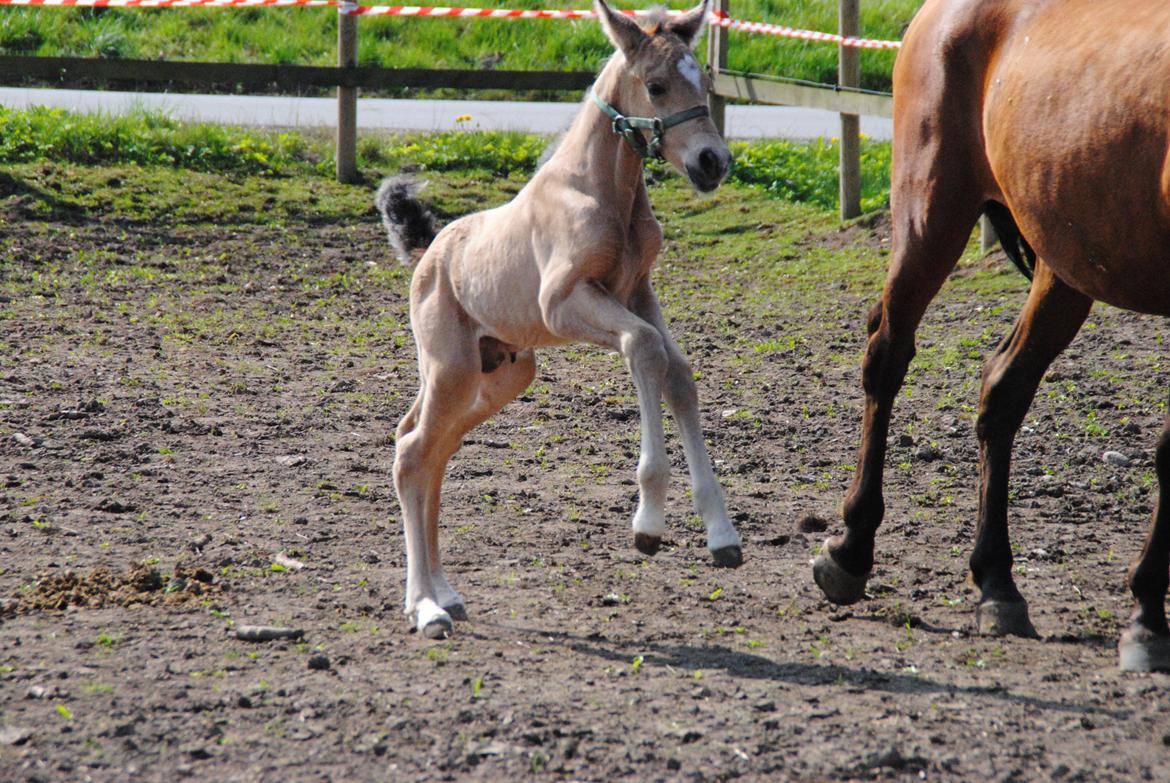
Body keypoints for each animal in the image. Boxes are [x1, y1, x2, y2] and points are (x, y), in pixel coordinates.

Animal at [814, 0, 1170, 674]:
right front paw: (1147, 614)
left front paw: (1149, 614)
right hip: (931, 213)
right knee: (887, 357)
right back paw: (851, 550)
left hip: (1062, 261)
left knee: (1002, 389)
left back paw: (997, 584)